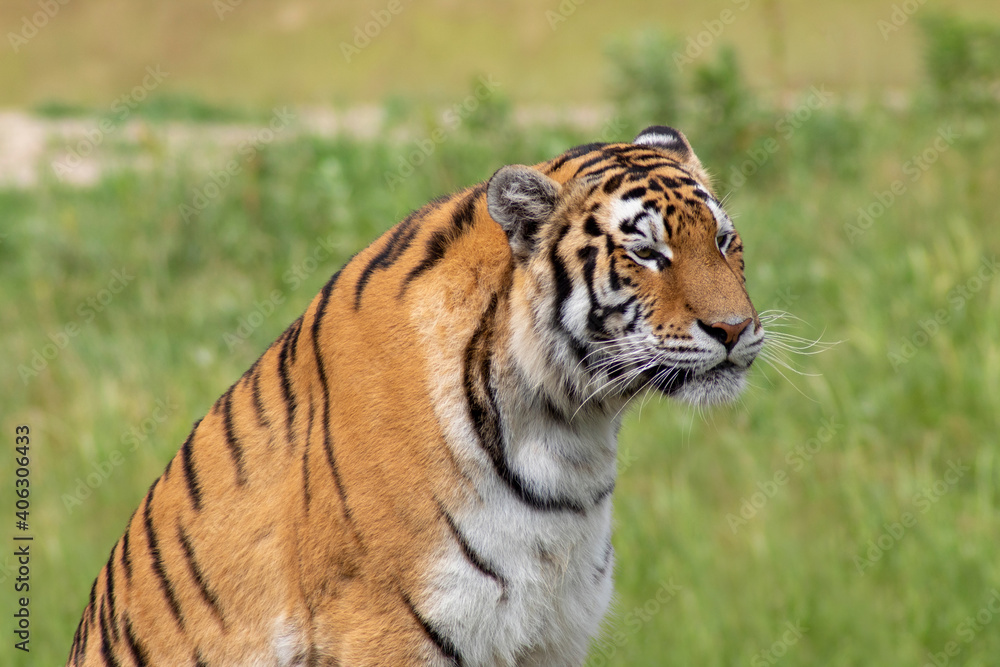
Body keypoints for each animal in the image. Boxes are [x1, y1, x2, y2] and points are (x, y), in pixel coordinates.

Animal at [67, 125, 764, 666]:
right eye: (647, 253)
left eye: (725, 241)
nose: (734, 329)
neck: (567, 432)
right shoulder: (384, 629)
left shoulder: (554, 630)